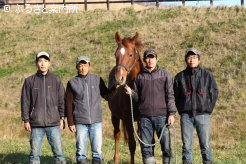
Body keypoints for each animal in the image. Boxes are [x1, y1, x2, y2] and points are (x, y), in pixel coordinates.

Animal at [108, 32, 144, 164]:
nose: (119, 77)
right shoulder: (128, 119)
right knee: (117, 135)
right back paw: (116, 159)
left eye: (131, 54)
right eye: (116, 54)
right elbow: (132, 144)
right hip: (115, 116)